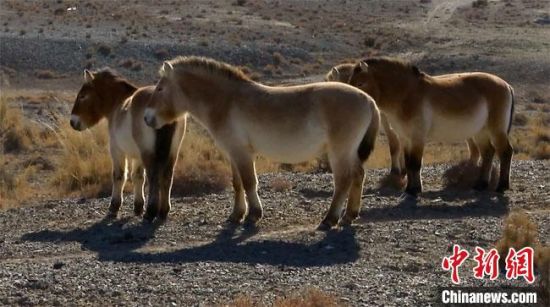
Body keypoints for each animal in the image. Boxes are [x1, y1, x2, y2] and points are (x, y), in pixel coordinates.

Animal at [70, 68, 187, 220]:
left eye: (82, 96)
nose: (72, 122)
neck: (118, 103)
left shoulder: (117, 150)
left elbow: (119, 176)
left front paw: (114, 207)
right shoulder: (137, 156)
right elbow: (138, 177)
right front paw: (138, 207)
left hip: (149, 153)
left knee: (154, 177)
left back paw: (151, 212)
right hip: (172, 152)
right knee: (167, 176)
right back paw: (163, 211)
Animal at [144, 56, 382, 230]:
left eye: (160, 88)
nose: (147, 118)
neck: (226, 102)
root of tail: (369, 100)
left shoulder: (242, 153)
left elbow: (250, 182)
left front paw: (253, 215)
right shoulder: (233, 153)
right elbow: (238, 183)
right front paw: (236, 215)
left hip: (339, 152)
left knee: (343, 181)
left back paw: (329, 219)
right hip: (349, 152)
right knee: (358, 175)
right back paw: (349, 216)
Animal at [352, 57, 516, 197]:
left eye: (360, 83)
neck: (406, 94)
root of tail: (506, 85)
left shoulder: (417, 137)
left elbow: (415, 163)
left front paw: (415, 190)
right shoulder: (405, 138)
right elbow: (408, 163)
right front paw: (409, 189)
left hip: (496, 131)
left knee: (505, 152)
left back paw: (502, 186)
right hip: (481, 132)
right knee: (488, 153)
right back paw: (481, 185)